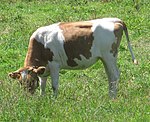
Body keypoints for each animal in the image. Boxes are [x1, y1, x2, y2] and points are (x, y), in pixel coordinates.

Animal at [8, 17, 137, 98]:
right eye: (20, 82)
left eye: (31, 81)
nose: (27, 97)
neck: (41, 43)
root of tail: (115, 20)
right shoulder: (43, 69)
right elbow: (42, 85)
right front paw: (42, 98)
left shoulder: (54, 65)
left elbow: (54, 85)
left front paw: (54, 100)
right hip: (105, 58)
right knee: (110, 76)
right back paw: (110, 95)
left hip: (109, 56)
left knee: (114, 75)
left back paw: (112, 97)